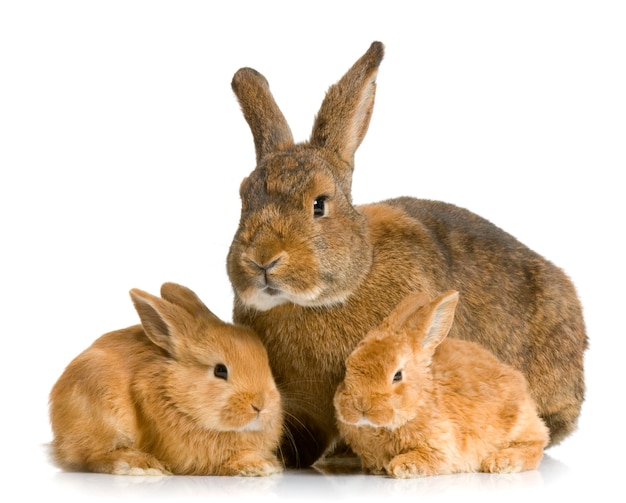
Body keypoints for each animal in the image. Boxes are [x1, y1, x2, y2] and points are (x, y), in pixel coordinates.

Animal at [47, 284, 282, 476]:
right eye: (220, 371)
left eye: (266, 362)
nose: (261, 405)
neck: (174, 394)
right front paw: (258, 465)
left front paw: (271, 463)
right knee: (93, 456)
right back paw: (139, 464)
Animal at [332, 290, 544, 478]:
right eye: (348, 366)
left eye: (397, 376)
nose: (361, 406)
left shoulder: (441, 447)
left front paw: (401, 467)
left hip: (517, 424)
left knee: (536, 444)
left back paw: (500, 462)